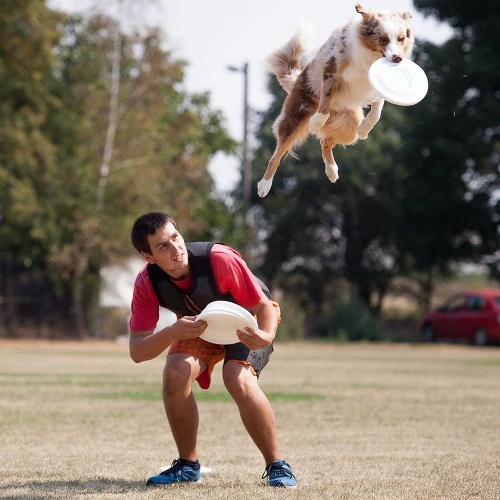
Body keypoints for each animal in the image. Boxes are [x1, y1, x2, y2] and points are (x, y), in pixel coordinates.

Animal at [258, 3, 414, 197]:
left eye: (401, 38)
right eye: (383, 38)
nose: (397, 58)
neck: (371, 55)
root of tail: (296, 80)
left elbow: (377, 111)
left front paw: (365, 129)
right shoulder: (332, 69)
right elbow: (326, 99)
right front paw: (317, 121)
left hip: (349, 126)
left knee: (325, 141)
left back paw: (332, 170)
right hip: (295, 118)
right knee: (277, 154)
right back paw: (264, 185)